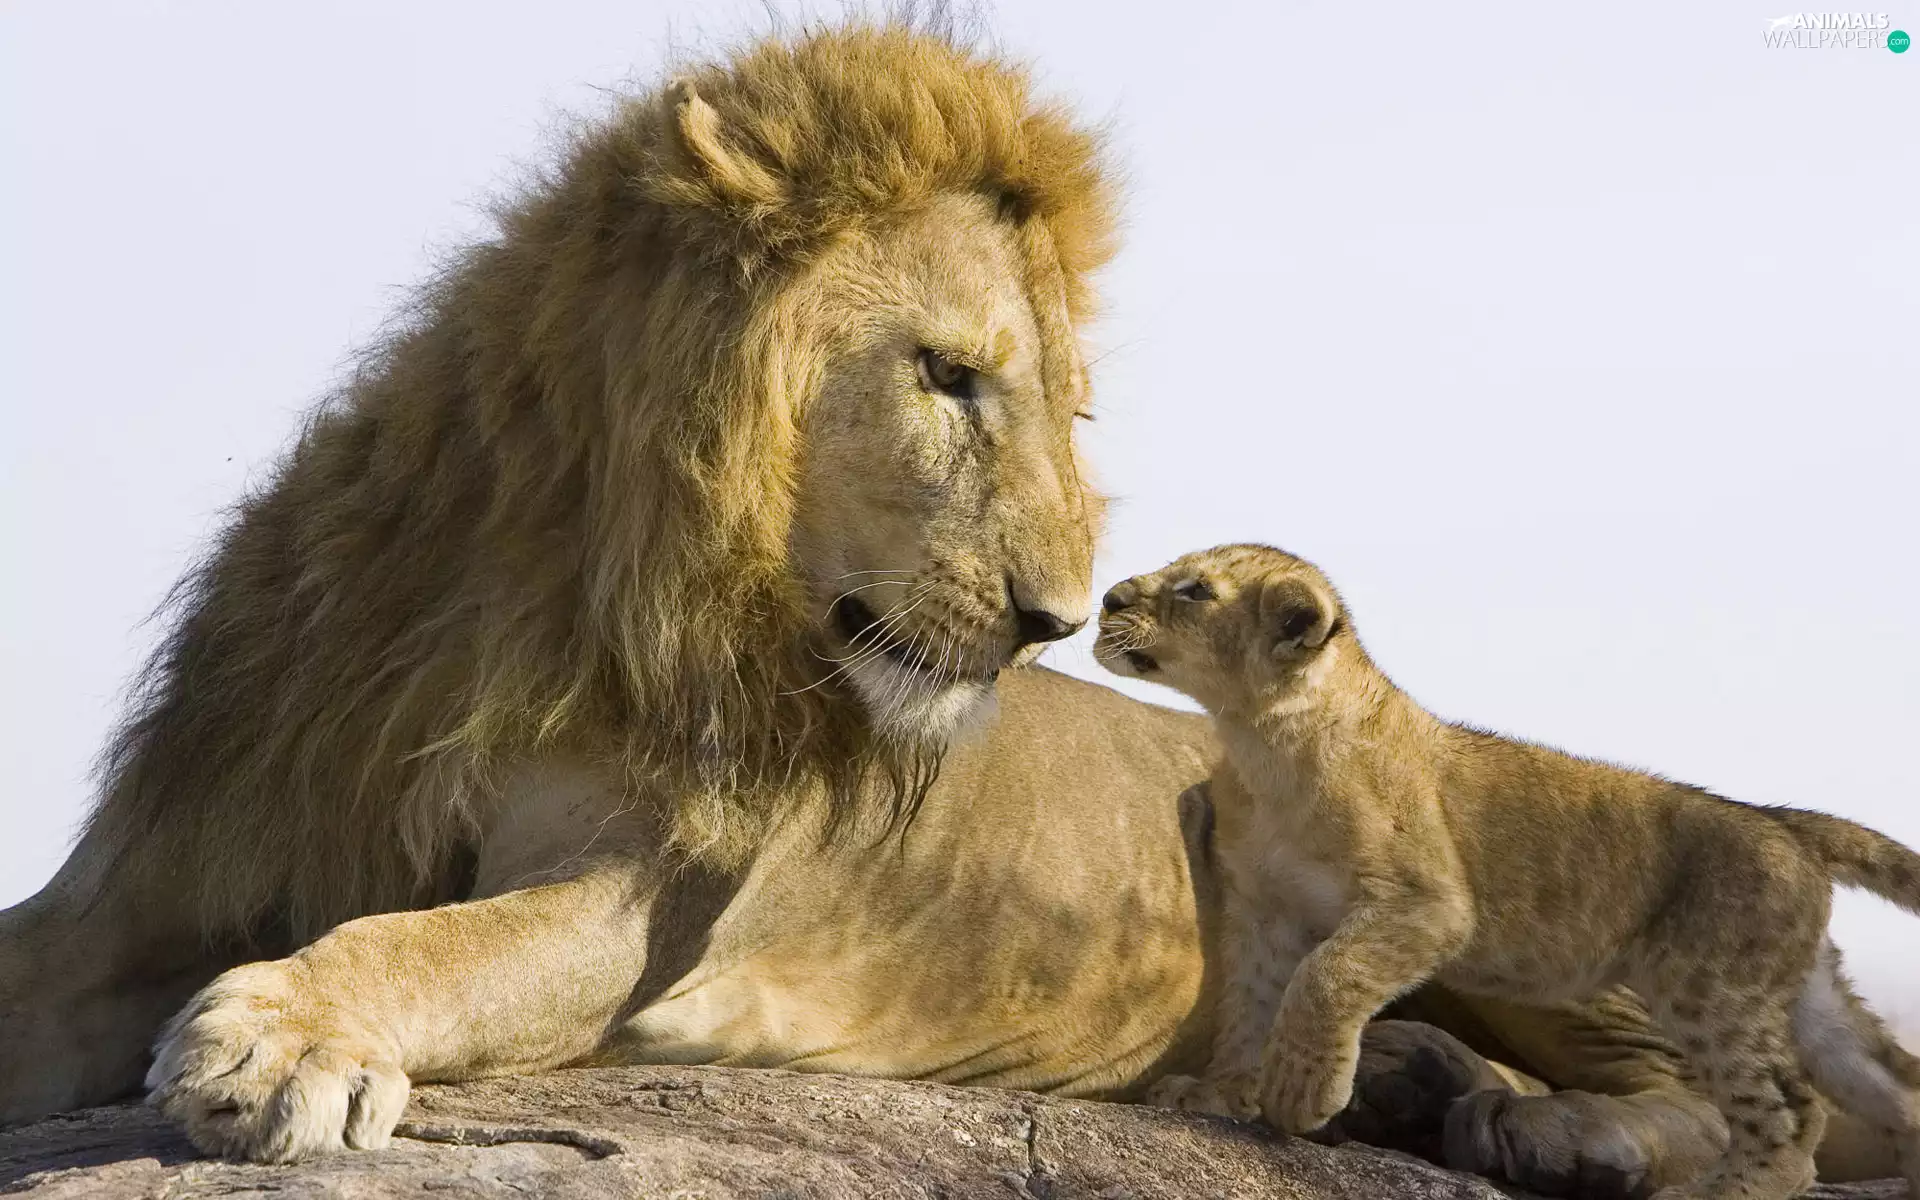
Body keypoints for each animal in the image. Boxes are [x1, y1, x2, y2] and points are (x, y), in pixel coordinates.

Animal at [0, 20, 1899, 1193]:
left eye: (1068, 408)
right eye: (947, 379)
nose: (1061, 619)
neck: (538, 583)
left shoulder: (641, 901)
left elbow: (438, 941)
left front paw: (284, 1033)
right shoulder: (162, 870)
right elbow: (44, 970)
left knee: (1759, 1099)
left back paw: (1565, 1133)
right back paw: (1409, 1094)